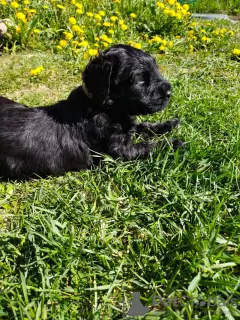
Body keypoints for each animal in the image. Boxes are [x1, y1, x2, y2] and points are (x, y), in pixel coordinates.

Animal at [0, 44, 182, 180]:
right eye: (141, 79)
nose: (169, 92)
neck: (102, 107)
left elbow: (143, 126)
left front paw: (169, 124)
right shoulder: (118, 150)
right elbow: (145, 146)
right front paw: (173, 143)